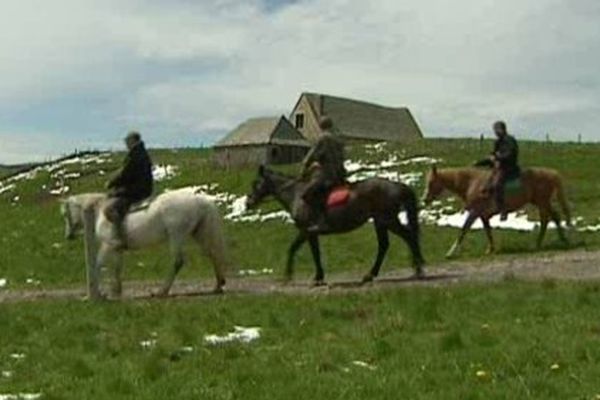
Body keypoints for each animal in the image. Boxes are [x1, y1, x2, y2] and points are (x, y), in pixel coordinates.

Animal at [61, 188, 230, 300]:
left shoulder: (108, 245)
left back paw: (162, 291)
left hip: (177, 236)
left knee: (178, 261)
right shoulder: (117, 249)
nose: (68, 235)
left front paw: (99, 293)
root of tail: (201, 200)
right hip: (199, 234)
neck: (101, 212)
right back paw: (218, 286)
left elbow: (97, 265)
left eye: (65, 213)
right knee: (213, 254)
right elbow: (117, 269)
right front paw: (116, 292)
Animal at [422, 166, 572, 258]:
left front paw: (450, 253)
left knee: (550, 219)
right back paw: (552, 242)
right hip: (541, 202)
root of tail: (551, 173)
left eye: (431, 182)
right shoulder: (483, 215)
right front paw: (491, 249)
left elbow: (463, 230)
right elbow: (488, 231)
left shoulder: (474, 213)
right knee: (551, 218)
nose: (425, 199)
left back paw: (551, 242)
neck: (472, 183)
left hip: (542, 202)